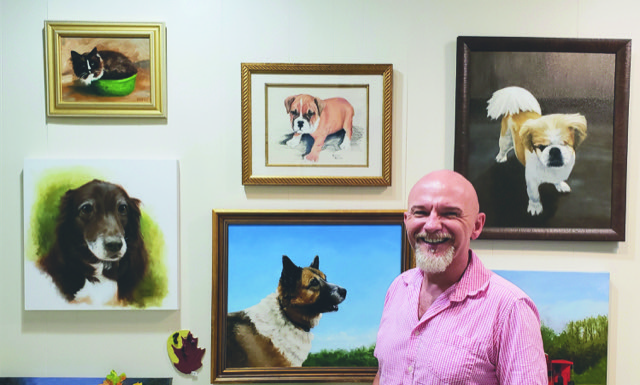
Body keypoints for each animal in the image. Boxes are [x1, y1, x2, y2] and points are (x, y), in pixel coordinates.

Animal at [488, 85, 588, 214]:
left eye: (565, 144)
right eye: (541, 147)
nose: (554, 150)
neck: (551, 168)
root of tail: (518, 109)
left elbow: (558, 179)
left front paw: (560, 185)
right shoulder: (532, 181)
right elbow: (534, 195)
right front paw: (535, 207)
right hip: (506, 139)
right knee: (503, 148)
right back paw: (501, 157)